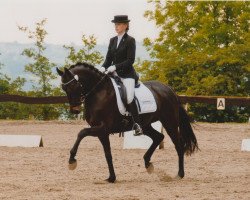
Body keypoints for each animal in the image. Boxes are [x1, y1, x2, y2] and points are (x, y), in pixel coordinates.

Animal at [56, 62, 197, 183]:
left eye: (73, 86)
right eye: (63, 87)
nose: (75, 110)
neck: (98, 92)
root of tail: (169, 90)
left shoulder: (103, 128)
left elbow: (81, 133)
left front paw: (72, 161)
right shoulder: (102, 132)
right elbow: (108, 154)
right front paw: (111, 178)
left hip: (170, 122)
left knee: (178, 145)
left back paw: (179, 174)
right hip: (145, 125)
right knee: (158, 137)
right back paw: (147, 163)